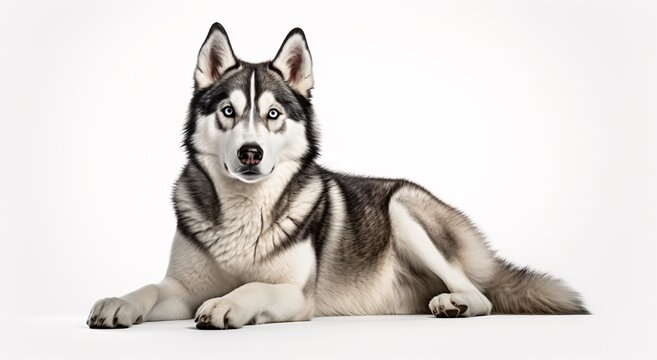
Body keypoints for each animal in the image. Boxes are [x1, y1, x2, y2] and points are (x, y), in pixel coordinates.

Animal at [86, 23, 584, 330]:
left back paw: (454, 303)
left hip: (404, 209)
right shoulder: (181, 290)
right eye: (228, 111)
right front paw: (119, 302)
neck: (246, 212)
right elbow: (150, 288)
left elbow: (253, 285)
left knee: (480, 294)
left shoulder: (294, 294)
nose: (251, 152)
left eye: (272, 114)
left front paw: (228, 301)